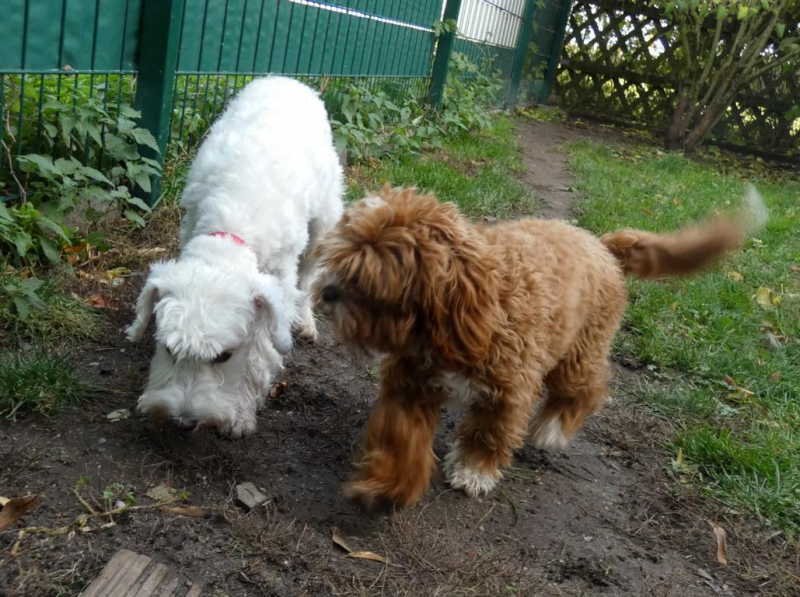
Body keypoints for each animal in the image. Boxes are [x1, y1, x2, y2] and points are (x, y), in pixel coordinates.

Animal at [127, 77, 344, 438]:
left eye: (224, 356)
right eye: (169, 349)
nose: (183, 422)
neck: (231, 226)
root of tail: (286, 79)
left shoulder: (278, 284)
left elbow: (261, 352)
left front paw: (241, 415)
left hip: (323, 223)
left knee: (309, 278)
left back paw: (307, 322)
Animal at [313, 185, 766, 509]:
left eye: (368, 281)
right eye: (340, 258)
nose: (328, 292)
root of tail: (601, 243)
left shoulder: (508, 391)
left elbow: (489, 434)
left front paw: (474, 472)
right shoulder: (409, 385)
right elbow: (400, 438)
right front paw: (385, 483)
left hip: (578, 354)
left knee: (587, 390)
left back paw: (554, 428)